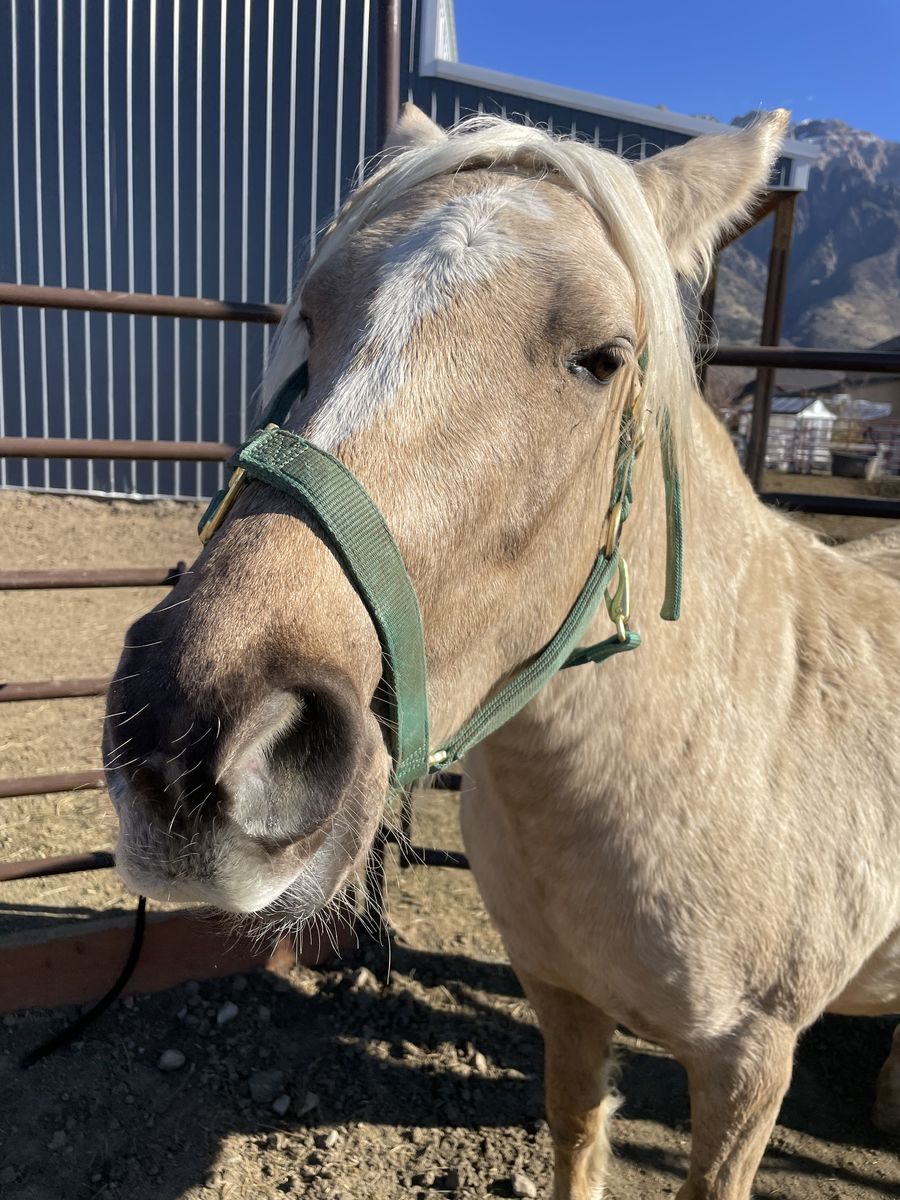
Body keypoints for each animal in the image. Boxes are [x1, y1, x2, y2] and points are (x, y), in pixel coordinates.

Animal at [104, 105, 900, 1199]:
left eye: (602, 357)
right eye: (314, 314)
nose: (190, 733)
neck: (724, 750)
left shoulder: (749, 1067)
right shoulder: (560, 997)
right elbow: (574, 1134)